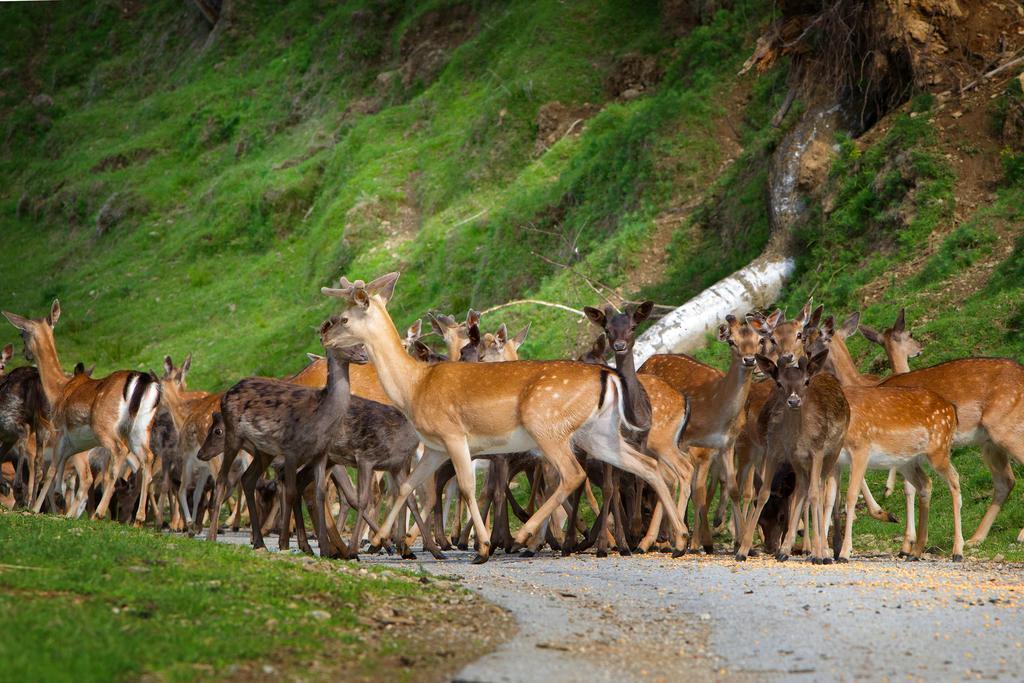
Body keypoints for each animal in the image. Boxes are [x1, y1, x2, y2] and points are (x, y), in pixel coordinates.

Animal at [3, 301, 161, 528]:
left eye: (21, 334)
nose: (25, 353)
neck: (58, 390)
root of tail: (143, 381)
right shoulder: (74, 445)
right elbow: (60, 477)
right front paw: (61, 509)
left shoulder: (59, 431)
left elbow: (50, 472)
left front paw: (34, 509)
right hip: (140, 428)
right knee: (147, 458)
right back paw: (138, 519)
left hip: (105, 425)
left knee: (118, 453)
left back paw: (100, 513)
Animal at [319, 270, 688, 561]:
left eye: (346, 318)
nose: (323, 333)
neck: (414, 386)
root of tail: (607, 376)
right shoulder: (435, 445)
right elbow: (408, 487)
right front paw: (381, 540)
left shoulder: (454, 434)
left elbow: (466, 487)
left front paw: (482, 547)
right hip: (599, 434)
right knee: (649, 467)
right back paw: (678, 539)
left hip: (547, 425)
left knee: (574, 475)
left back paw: (527, 535)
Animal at [737, 350, 847, 565]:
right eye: (779, 383)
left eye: (806, 381)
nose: (794, 401)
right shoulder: (775, 452)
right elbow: (764, 493)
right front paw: (743, 551)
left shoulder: (817, 452)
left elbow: (813, 495)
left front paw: (818, 553)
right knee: (805, 488)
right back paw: (788, 550)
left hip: (834, 452)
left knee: (820, 489)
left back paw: (825, 551)